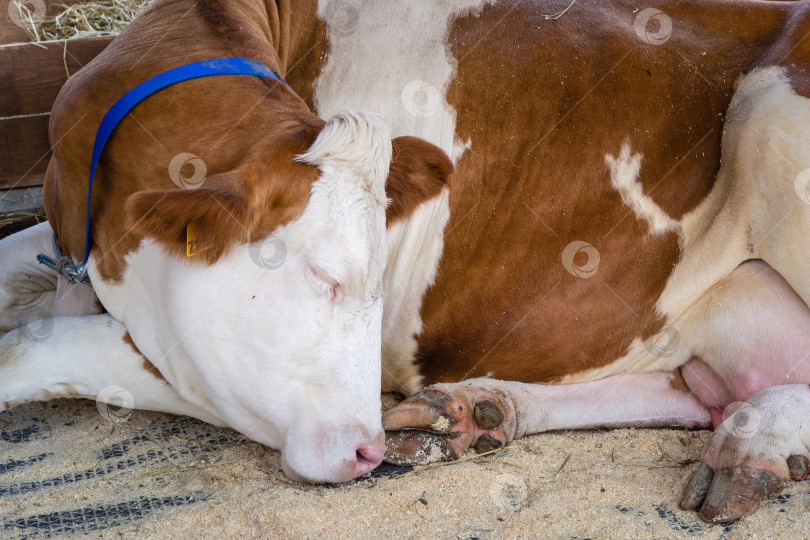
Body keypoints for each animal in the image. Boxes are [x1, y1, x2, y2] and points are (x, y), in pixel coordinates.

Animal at [1, 0, 808, 524]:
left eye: (368, 280)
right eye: (326, 277)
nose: (368, 450)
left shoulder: (197, 359)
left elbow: (36, 348)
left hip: (772, 115)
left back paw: (757, 442)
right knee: (695, 393)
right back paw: (480, 410)